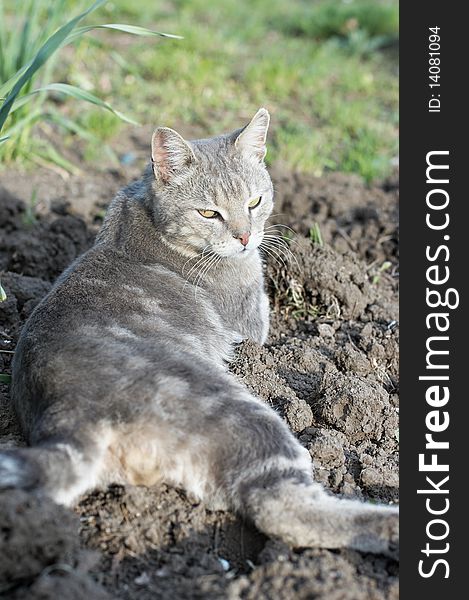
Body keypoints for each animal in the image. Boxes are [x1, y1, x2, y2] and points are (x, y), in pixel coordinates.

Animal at [0, 109, 398, 556]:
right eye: (209, 214)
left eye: (254, 202)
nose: (245, 237)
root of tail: (66, 418)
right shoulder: (253, 322)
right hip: (247, 416)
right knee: (284, 509)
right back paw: (390, 525)